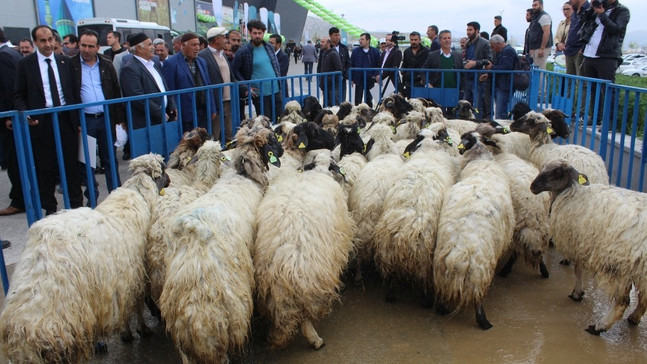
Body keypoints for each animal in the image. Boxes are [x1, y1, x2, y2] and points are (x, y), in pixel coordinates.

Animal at [0, 154, 170, 364]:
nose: (170, 180)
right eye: (164, 170)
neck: (137, 193)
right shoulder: (134, 275)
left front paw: (127, 332)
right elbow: (135, 306)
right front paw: (140, 329)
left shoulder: (121, 281)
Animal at [436, 132, 516, 330]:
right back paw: (484, 322)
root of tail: (460, 249)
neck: (480, 159)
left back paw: (441, 308)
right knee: (478, 298)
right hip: (479, 273)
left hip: (441, 268)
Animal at [532, 159, 647, 336]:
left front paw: (577, 293)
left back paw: (599, 326)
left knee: (622, 302)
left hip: (620, 266)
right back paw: (634, 317)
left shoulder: (579, 243)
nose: (533, 186)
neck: (572, 193)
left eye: (556, 172)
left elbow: (578, 270)